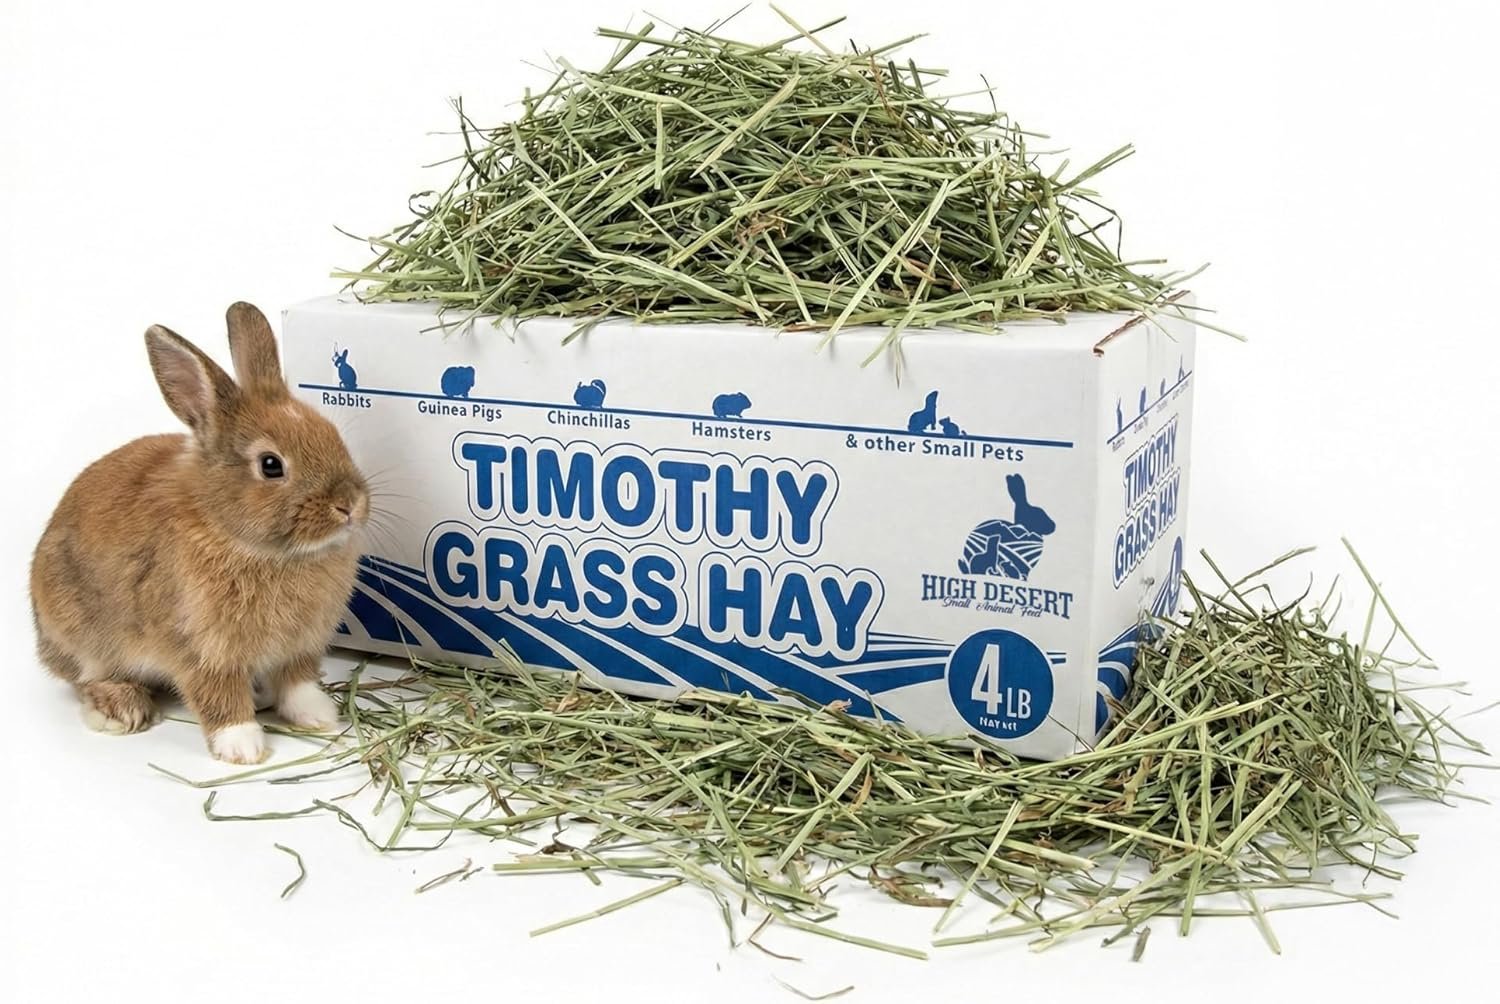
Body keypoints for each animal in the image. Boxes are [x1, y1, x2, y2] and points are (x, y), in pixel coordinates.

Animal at [30, 302, 370, 764]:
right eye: (270, 465)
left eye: (332, 435)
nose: (349, 505)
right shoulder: (200, 647)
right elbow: (218, 696)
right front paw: (242, 747)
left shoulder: (300, 646)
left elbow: (296, 681)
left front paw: (319, 716)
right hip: (81, 635)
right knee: (87, 676)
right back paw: (121, 708)